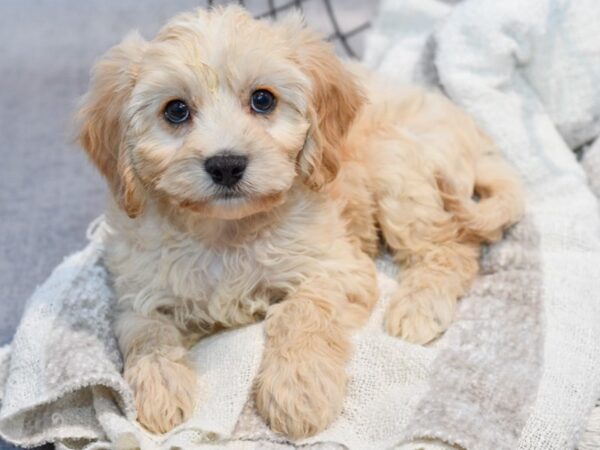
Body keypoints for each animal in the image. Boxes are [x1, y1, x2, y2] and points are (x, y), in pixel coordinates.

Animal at [77, 3, 524, 440]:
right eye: (176, 110)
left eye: (263, 100)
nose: (226, 164)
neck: (226, 232)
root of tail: (475, 136)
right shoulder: (136, 293)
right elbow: (146, 333)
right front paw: (159, 386)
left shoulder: (339, 269)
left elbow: (301, 312)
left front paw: (298, 389)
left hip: (398, 172)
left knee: (451, 248)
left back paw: (418, 307)